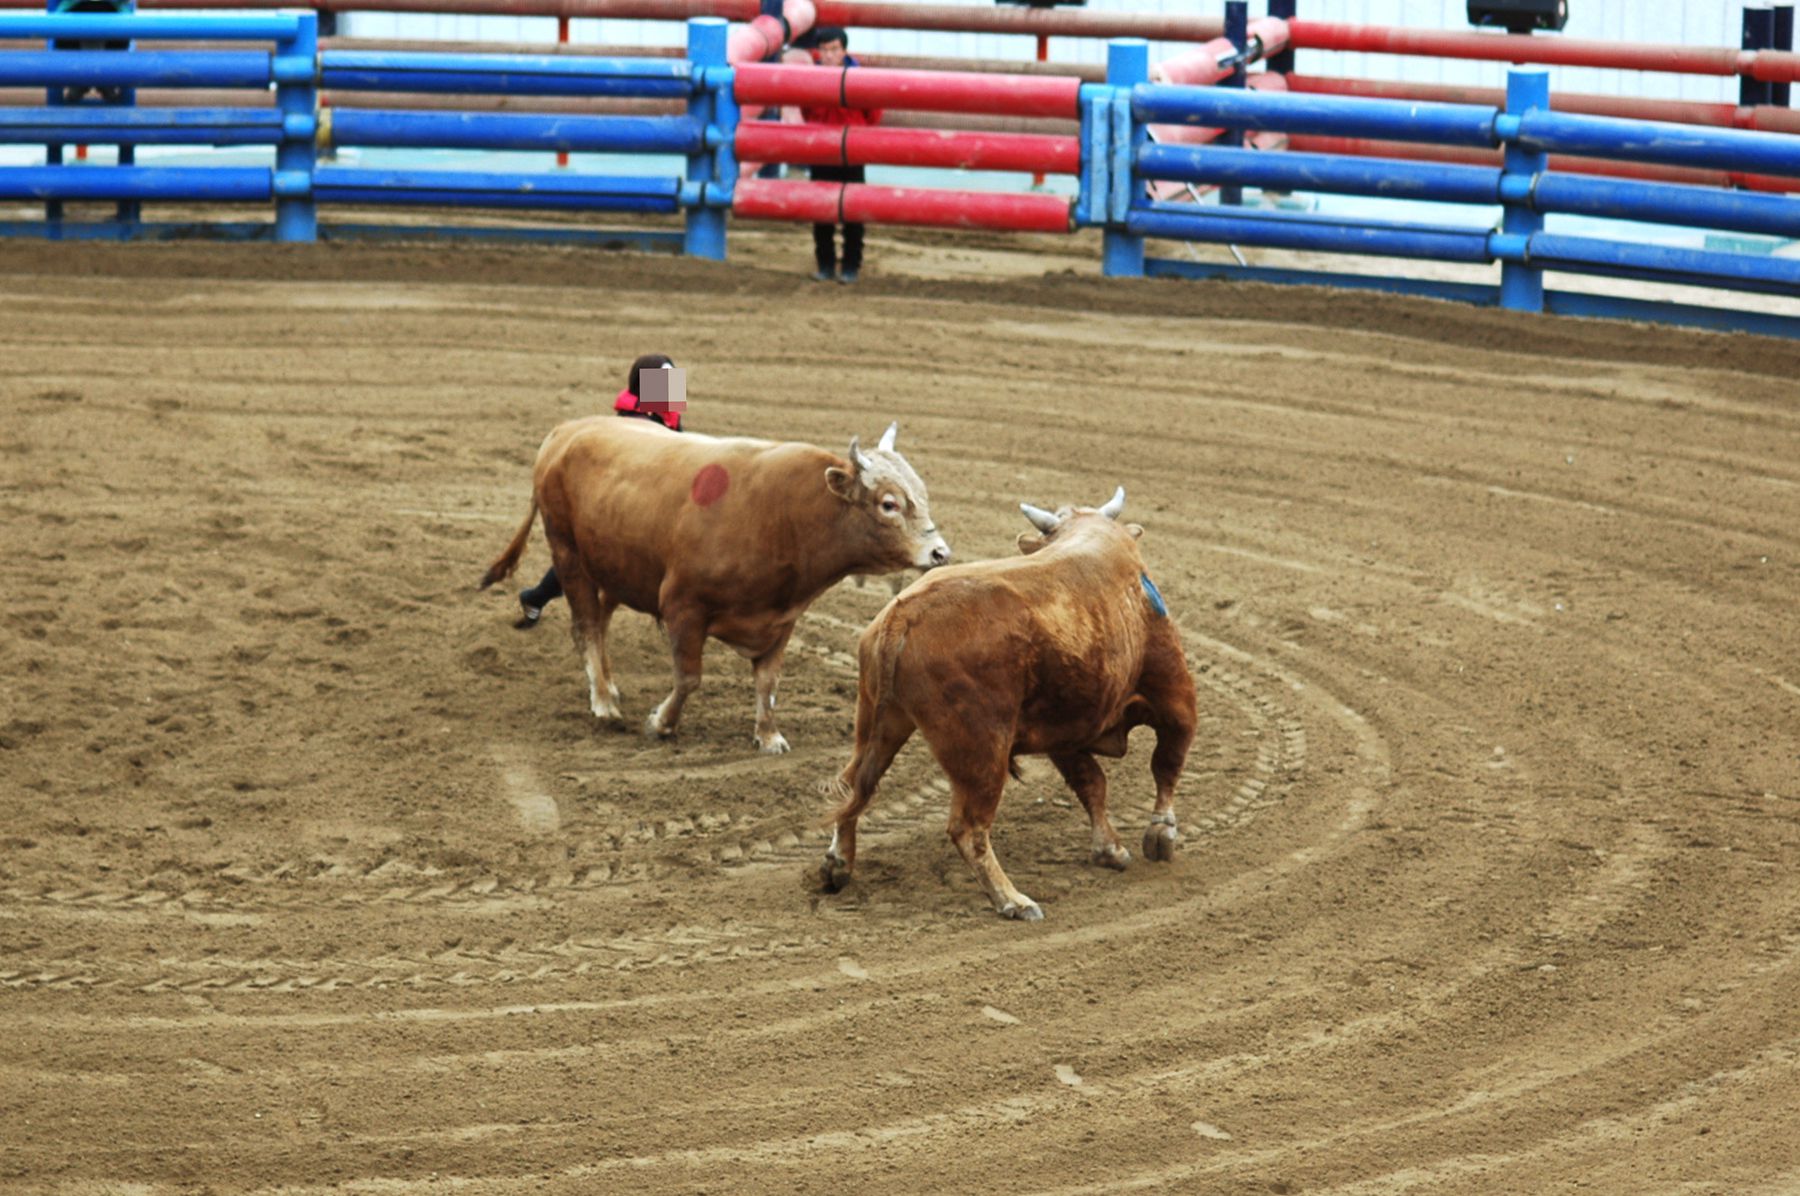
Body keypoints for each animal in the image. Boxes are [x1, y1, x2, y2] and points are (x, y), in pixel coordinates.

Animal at [481, 419, 949, 753]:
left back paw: (608, 686)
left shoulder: (781, 620)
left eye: (922, 494)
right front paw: (661, 723)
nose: (940, 553)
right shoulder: (683, 606)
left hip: (611, 567)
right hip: (569, 554)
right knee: (588, 627)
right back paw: (604, 702)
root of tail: (564, 433)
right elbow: (688, 677)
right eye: (888, 504)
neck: (784, 515)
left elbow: (768, 683)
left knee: (601, 620)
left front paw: (768, 735)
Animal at [819, 487, 1197, 920]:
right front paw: (1160, 835)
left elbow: (1092, 783)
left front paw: (1110, 849)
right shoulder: (1174, 696)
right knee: (969, 828)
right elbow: (1166, 762)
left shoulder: (1064, 733)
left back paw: (838, 863)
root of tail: (903, 615)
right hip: (981, 751)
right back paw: (1012, 900)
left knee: (853, 786)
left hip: (880, 724)